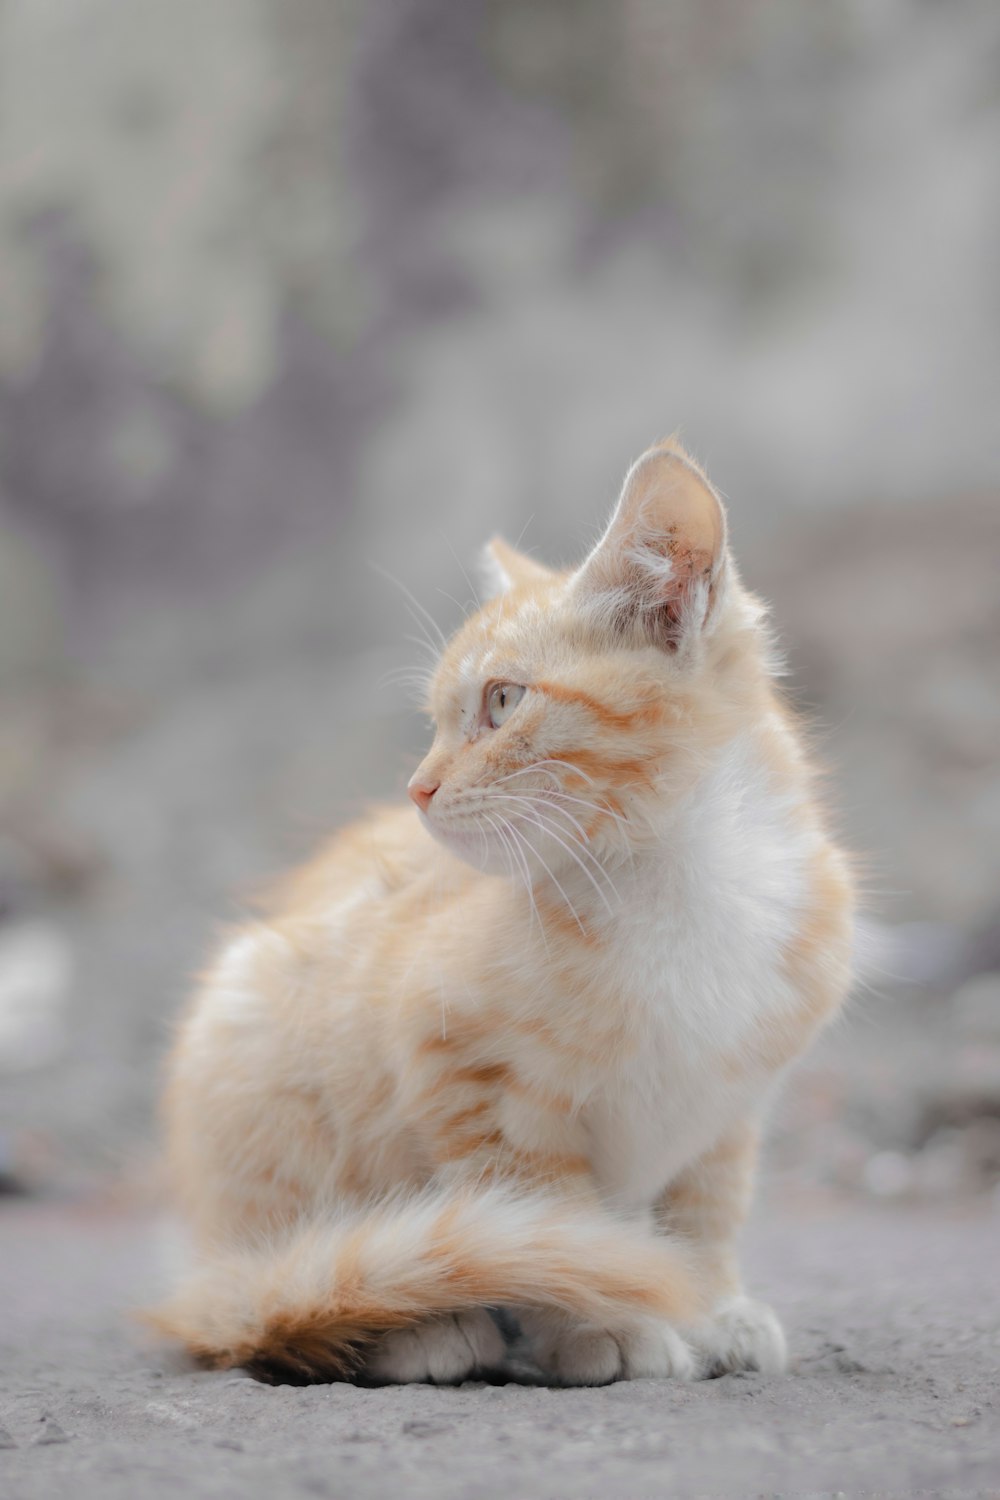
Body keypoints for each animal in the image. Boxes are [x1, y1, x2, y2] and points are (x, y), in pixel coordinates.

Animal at [148, 438, 851, 1386]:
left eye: (504, 701)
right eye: (436, 721)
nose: (417, 788)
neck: (686, 880)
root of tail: (208, 1268)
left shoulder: (728, 1109)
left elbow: (703, 1212)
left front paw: (712, 1305)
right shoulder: (465, 1072)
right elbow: (554, 1224)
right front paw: (605, 1324)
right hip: (253, 1050)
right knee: (286, 1290)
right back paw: (413, 1326)